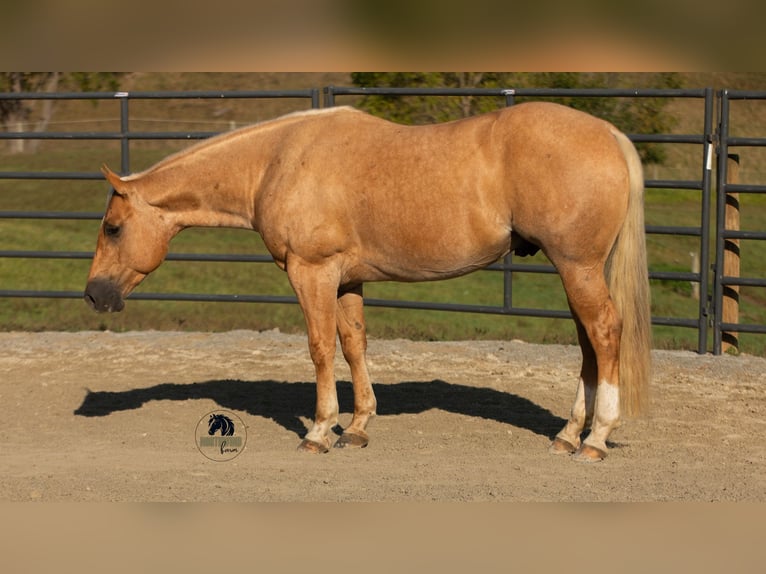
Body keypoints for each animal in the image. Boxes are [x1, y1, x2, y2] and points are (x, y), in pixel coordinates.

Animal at [84, 102, 651, 462]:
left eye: (112, 228)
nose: (94, 294)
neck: (275, 161)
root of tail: (609, 134)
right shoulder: (345, 280)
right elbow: (354, 345)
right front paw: (356, 427)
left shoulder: (311, 272)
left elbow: (320, 349)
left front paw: (319, 431)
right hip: (575, 270)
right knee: (588, 344)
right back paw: (569, 434)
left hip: (577, 267)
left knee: (604, 333)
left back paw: (596, 439)